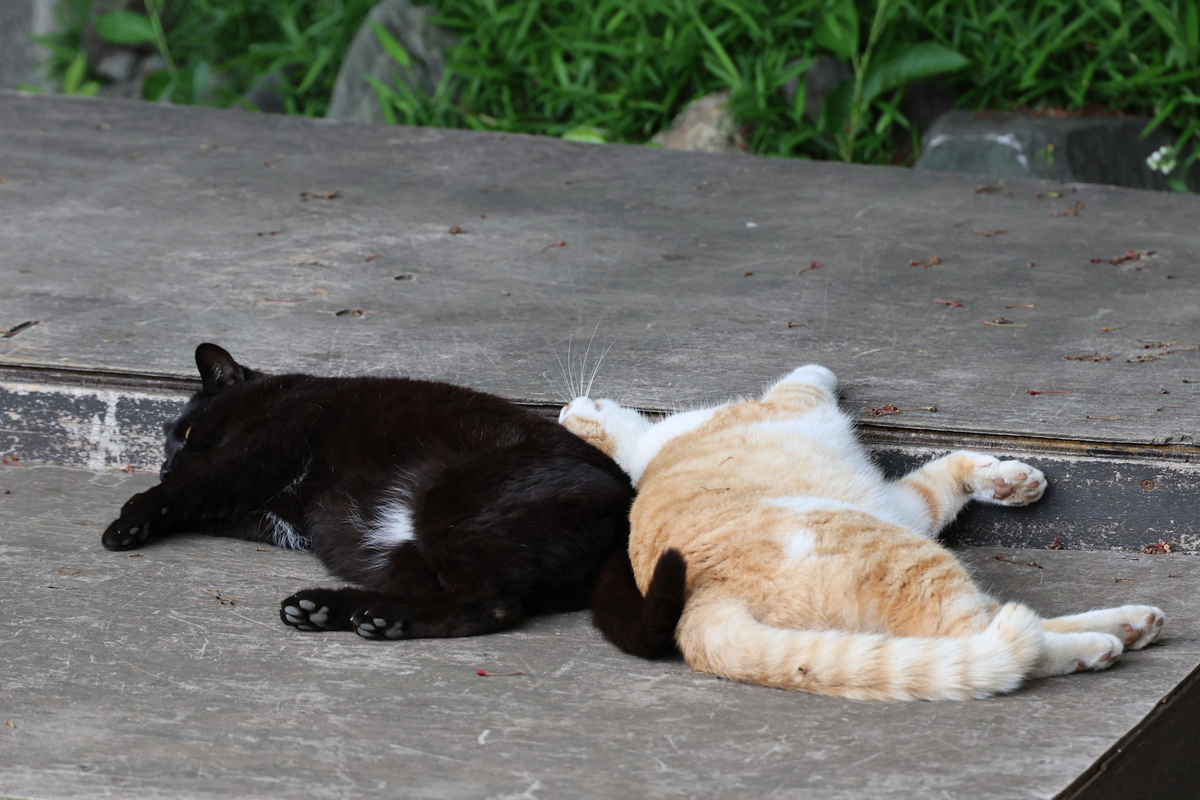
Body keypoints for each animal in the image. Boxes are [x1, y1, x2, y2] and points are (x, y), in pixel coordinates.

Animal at [102, 343, 683, 656]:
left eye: (186, 432)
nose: (165, 461)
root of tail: (626, 501)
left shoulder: (257, 454)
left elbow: (185, 490)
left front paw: (127, 523)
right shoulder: (254, 511)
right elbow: (194, 502)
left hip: (451, 509)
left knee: (491, 602)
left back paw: (372, 619)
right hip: (392, 550)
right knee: (444, 591)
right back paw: (330, 610)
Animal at [559, 364, 1165, 700]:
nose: (565, 404)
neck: (646, 452)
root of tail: (699, 605)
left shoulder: (903, 504)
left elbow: (944, 476)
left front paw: (1010, 481)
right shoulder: (793, 406)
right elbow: (805, 377)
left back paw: (1132, 623)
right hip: (900, 554)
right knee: (995, 636)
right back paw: (1102, 644)